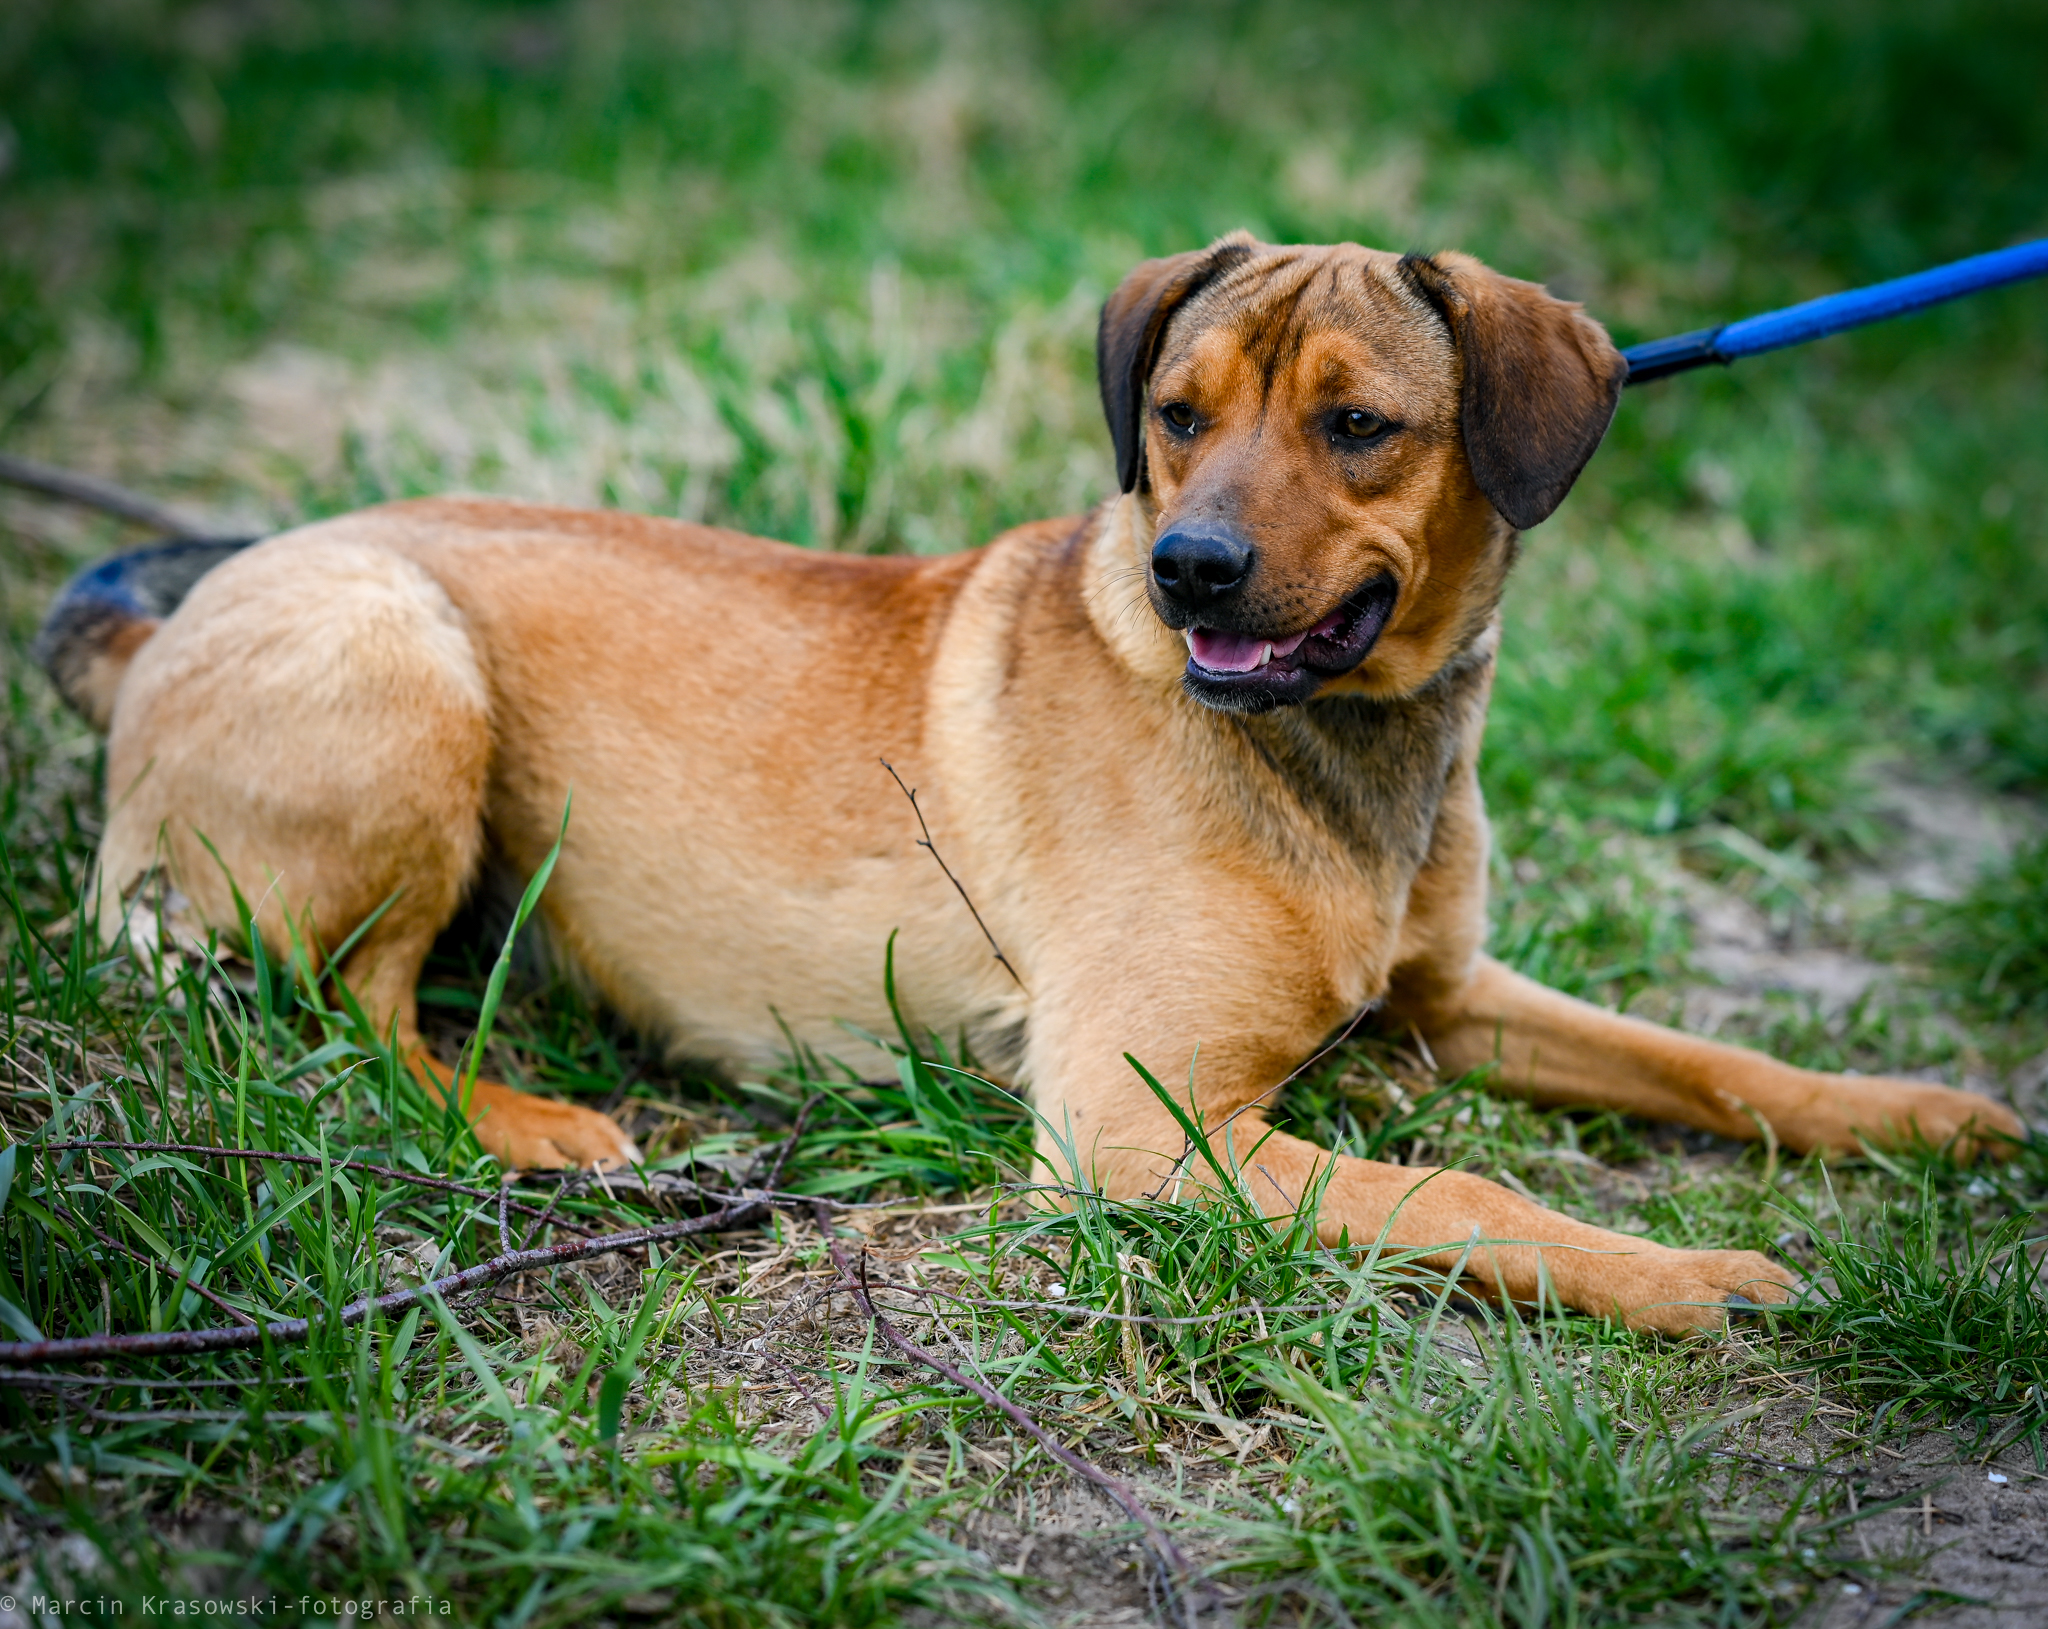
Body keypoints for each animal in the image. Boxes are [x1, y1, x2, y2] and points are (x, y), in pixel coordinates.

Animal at [38, 233, 2024, 1334]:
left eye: (1357, 426)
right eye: (1175, 414)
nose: (1189, 570)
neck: (1344, 751)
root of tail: (173, 613)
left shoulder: (1451, 997)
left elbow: (1712, 1058)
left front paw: (1912, 1112)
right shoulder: (1143, 1119)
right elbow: (1464, 1194)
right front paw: (1688, 1278)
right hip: (405, 671)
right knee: (345, 1008)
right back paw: (532, 1120)